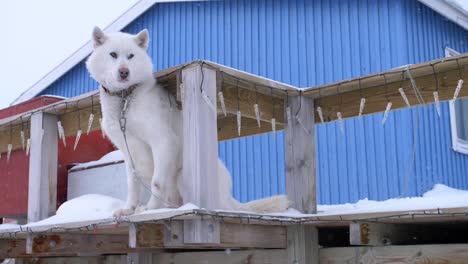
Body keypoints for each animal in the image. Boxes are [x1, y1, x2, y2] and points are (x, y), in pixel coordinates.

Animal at [84, 27, 288, 217]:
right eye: (113, 54)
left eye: (131, 56)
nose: (124, 72)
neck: (125, 100)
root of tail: (230, 199)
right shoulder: (129, 152)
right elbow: (132, 186)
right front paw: (128, 209)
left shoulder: (163, 141)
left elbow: (156, 183)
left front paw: (149, 209)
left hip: (183, 175)